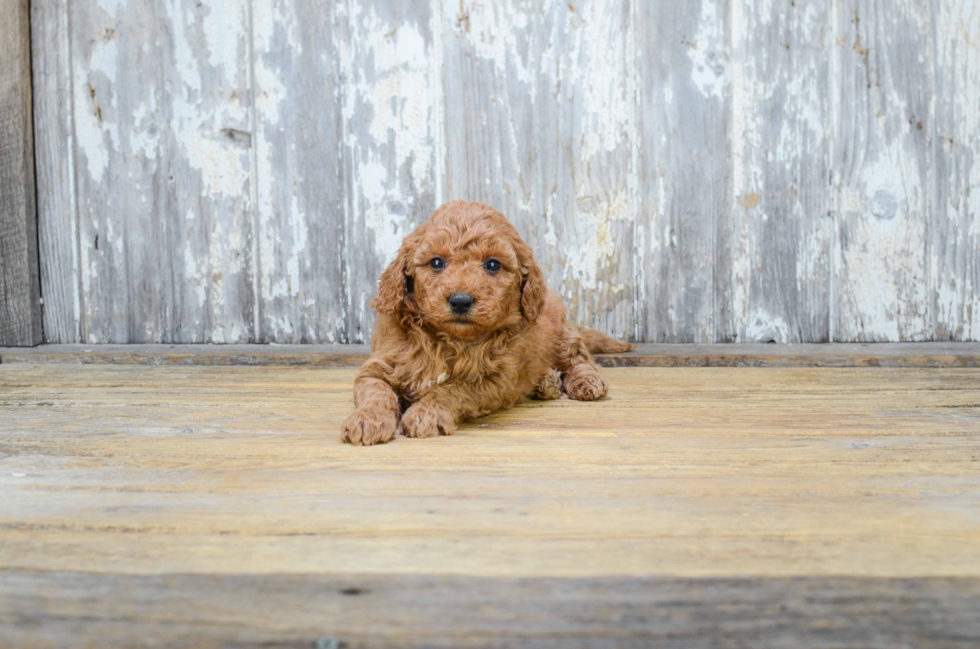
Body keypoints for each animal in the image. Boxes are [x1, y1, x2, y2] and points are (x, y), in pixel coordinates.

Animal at [344, 201, 632, 446]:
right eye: (436, 262)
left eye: (492, 264)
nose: (460, 301)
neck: (450, 340)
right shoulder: (378, 365)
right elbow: (376, 392)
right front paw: (369, 419)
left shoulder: (494, 381)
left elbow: (450, 389)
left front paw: (426, 414)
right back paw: (546, 383)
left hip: (560, 333)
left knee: (578, 356)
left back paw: (585, 381)